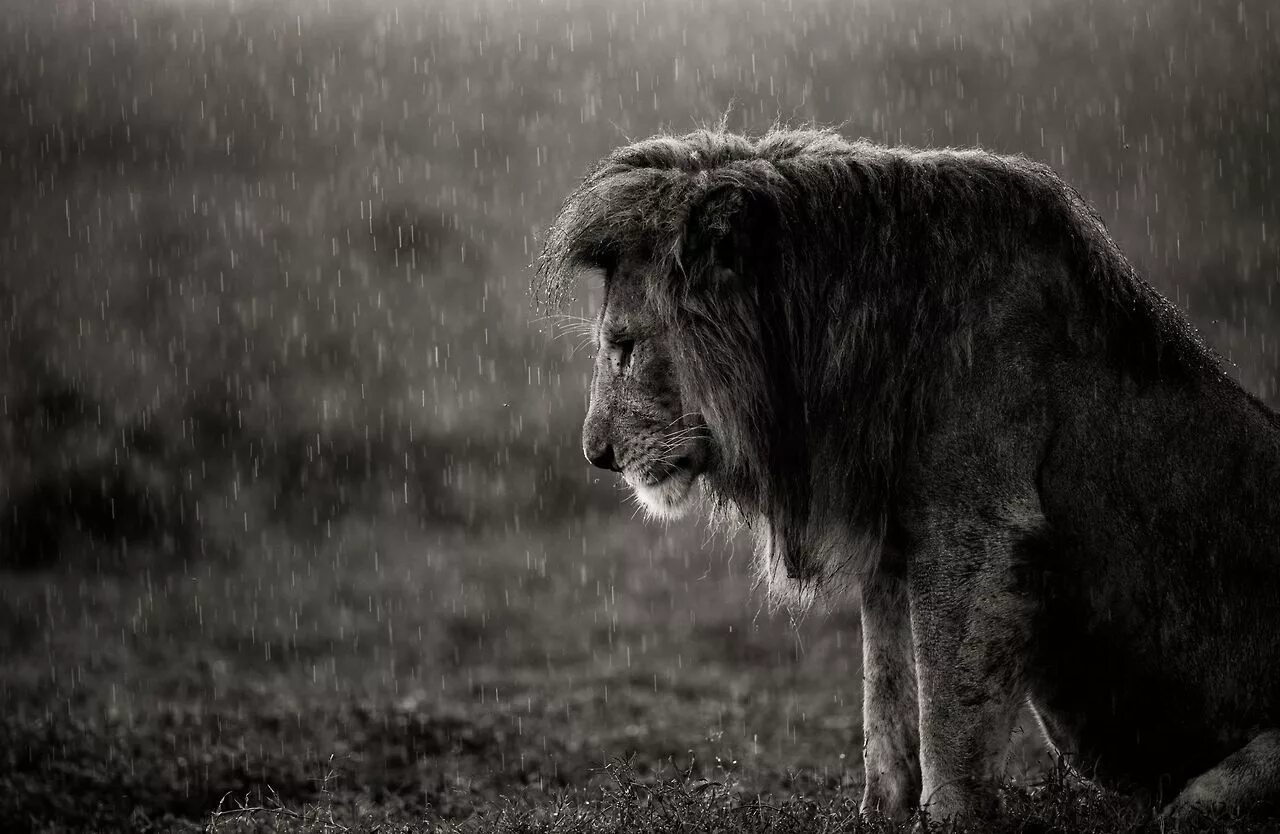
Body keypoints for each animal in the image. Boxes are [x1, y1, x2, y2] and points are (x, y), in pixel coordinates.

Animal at [532, 127, 1280, 823]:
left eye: (624, 347)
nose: (596, 454)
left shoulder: (977, 535)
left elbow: (948, 712)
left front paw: (947, 817)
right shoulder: (891, 540)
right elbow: (887, 695)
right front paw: (878, 814)